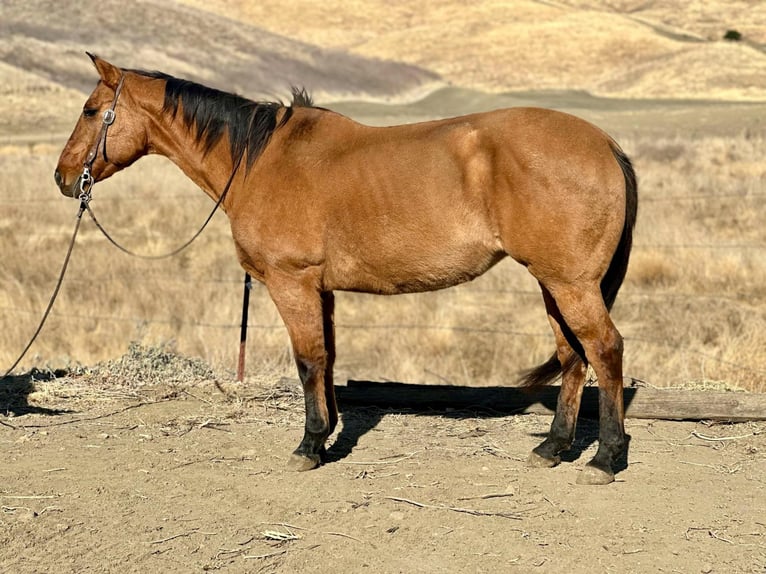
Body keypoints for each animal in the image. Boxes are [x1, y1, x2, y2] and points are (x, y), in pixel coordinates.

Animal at [55, 54, 637, 485]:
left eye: (90, 109)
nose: (63, 177)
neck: (261, 159)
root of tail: (607, 144)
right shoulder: (322, 289)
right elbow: (328, 360)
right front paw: (328, 435)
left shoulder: (292, 283)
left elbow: (308, 361)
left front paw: (309, 444)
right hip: (554, 283)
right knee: (573, 355)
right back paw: (554, 447)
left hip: (570, 284)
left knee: (604, 350)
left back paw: (605, 458)